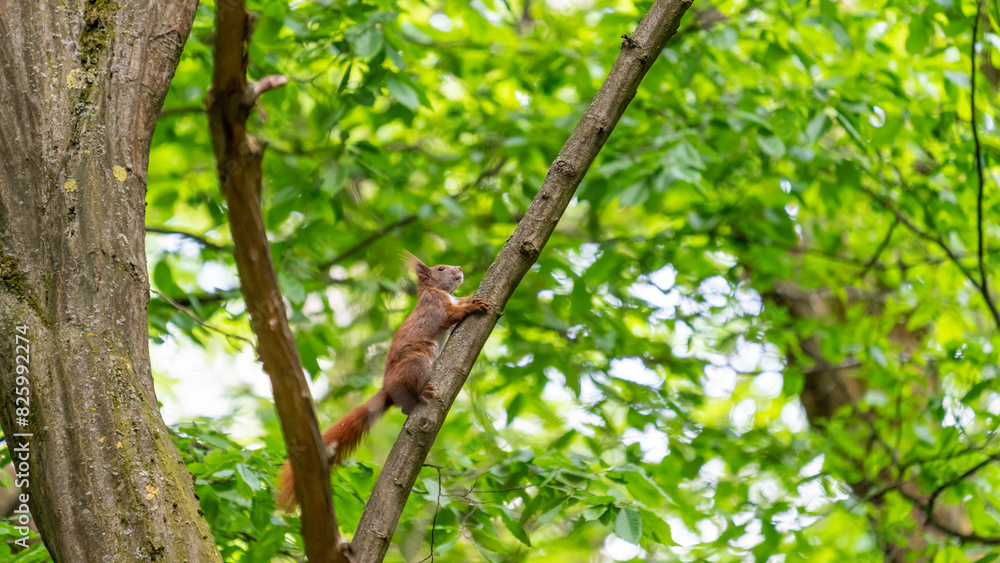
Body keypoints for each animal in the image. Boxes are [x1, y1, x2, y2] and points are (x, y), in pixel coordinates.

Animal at [276, 253, 490, 508]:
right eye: (440, 268)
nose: (459, 268)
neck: (437, 291)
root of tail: (387, 389)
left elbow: (460, 301)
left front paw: (473, 296)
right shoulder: (437, 305)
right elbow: (454, 314)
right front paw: (474, 305)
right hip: (416, 362)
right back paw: (422, 394)